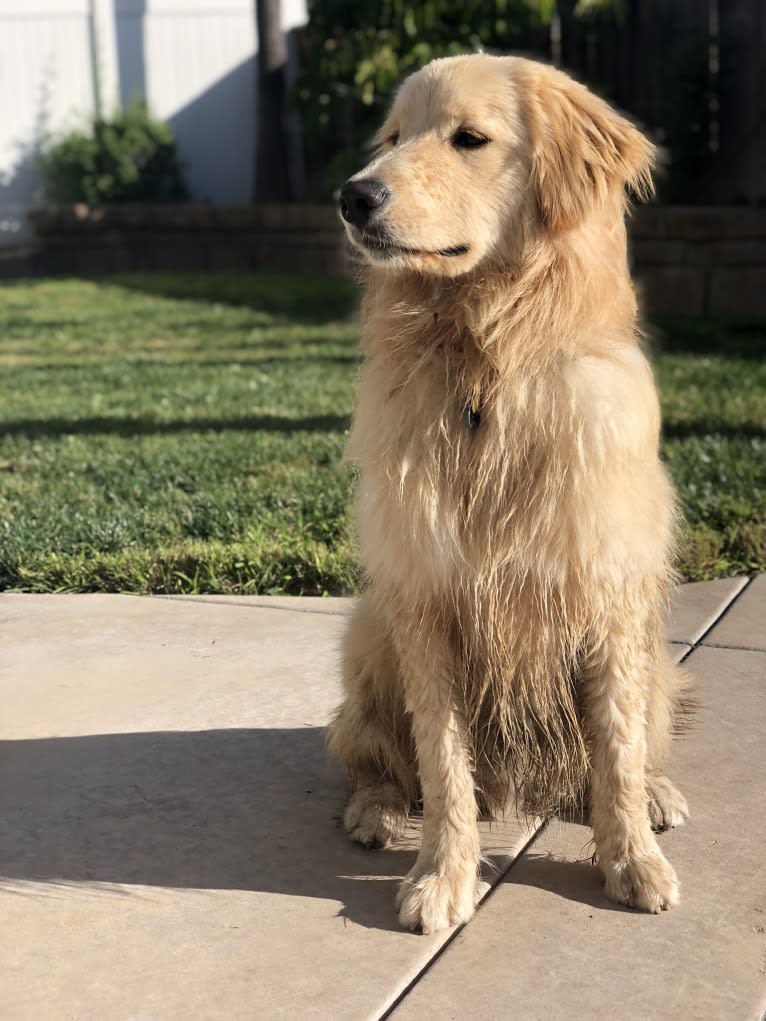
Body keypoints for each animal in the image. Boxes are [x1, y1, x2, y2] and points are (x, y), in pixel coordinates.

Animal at [326, 53, 694, 935]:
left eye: (469, 138)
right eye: (393, 136)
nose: (354, 196)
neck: (487, 358)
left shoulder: (609, 590)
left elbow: (617, 750)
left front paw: (632, 860)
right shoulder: (425, 599)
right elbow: (442, 763)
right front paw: (441, 875)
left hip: (656, 653)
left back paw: (656, 795)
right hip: (368, 633)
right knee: (368, 753)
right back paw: (375, 809)